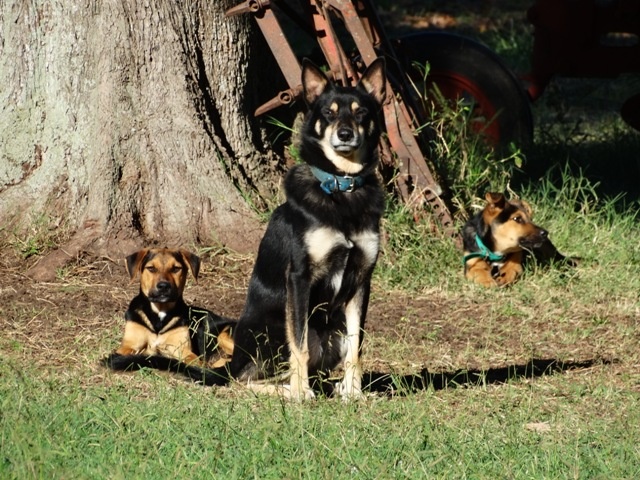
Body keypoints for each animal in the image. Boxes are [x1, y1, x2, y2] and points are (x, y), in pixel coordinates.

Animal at [102, 249, 235, 374]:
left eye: (176, 269)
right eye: (151, 268)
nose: (163, 286)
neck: (160, 311)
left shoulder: (183, 349)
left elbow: (193, 361)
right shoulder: (129, 345)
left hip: (224, 335)